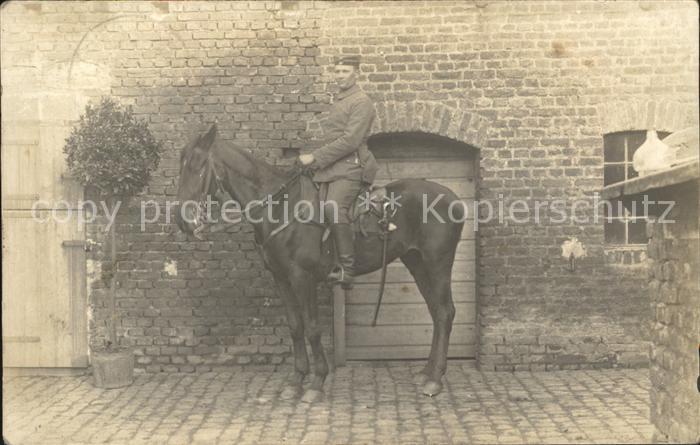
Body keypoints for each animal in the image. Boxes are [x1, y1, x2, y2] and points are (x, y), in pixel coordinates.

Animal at [175, 124, 465, 403]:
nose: (183, 221)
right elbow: (295, 326)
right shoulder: (281, 278)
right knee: (436, 312)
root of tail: (454, 199)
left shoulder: (303, 277)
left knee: (445, 312)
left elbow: (313, 328)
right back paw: (427, 372)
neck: (280, 208)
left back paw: (435, 380)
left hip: (438, 263)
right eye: (181, 165)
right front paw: (296, 381)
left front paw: (316, 382)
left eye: (199, 166)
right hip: (417, 262)